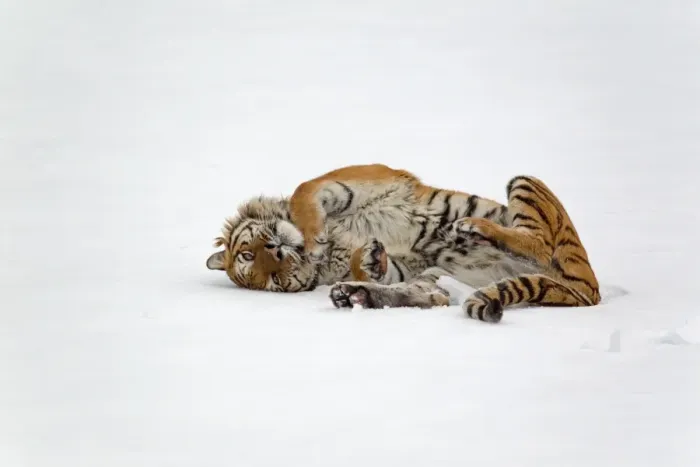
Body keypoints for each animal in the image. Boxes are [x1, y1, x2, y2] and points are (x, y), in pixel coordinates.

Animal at [206, 164, 601, 323]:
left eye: (249, 252)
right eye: (274, 278)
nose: (276, 251)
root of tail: (589, 292)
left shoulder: (351, 178)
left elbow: (306, 188)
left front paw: (314, 237)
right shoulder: (408, 265)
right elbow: (383, 266)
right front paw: (367, 261)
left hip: (525, 182)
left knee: (539, 244)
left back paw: (470, 226)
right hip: (439, 274)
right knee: (432, 295)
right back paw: (355, 295)